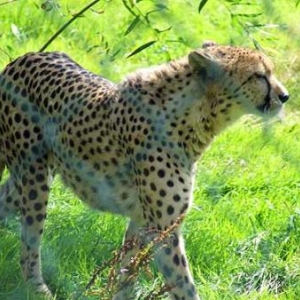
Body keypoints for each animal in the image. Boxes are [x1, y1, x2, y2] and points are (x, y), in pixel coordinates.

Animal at [0, 42, 288, 300]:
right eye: (259, 76)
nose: (285, 96)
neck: (195, 117)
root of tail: (25, 57)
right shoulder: (162, 228)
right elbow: (183, 284)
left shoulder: (141, 220)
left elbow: (127, 274)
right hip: (34, 178)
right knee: (30, 246)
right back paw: (39, 290)